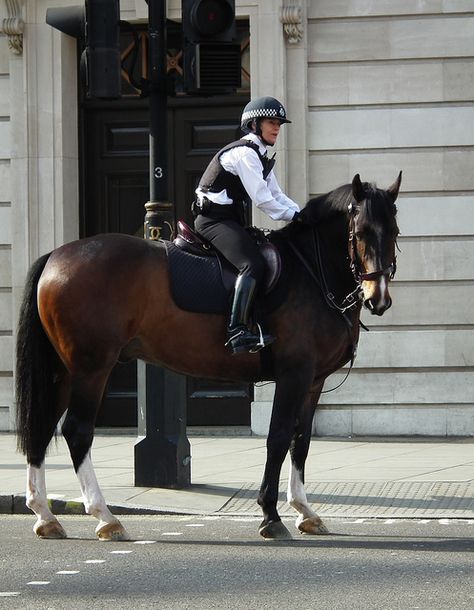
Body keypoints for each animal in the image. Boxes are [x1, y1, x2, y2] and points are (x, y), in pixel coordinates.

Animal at [15, 171, 400, 536]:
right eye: (361, 232)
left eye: (394, 230)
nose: (378, 298)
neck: (310, 272)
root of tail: (56, 256)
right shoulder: (293, 374)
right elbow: (277, 438)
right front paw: (270, 514)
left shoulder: (313, 381)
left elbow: (300, 441)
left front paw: (305, 510)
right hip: (92, 367)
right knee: (77, 431)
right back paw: (104, 516)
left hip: (65, 370)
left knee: (42, 426)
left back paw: (45, 514)